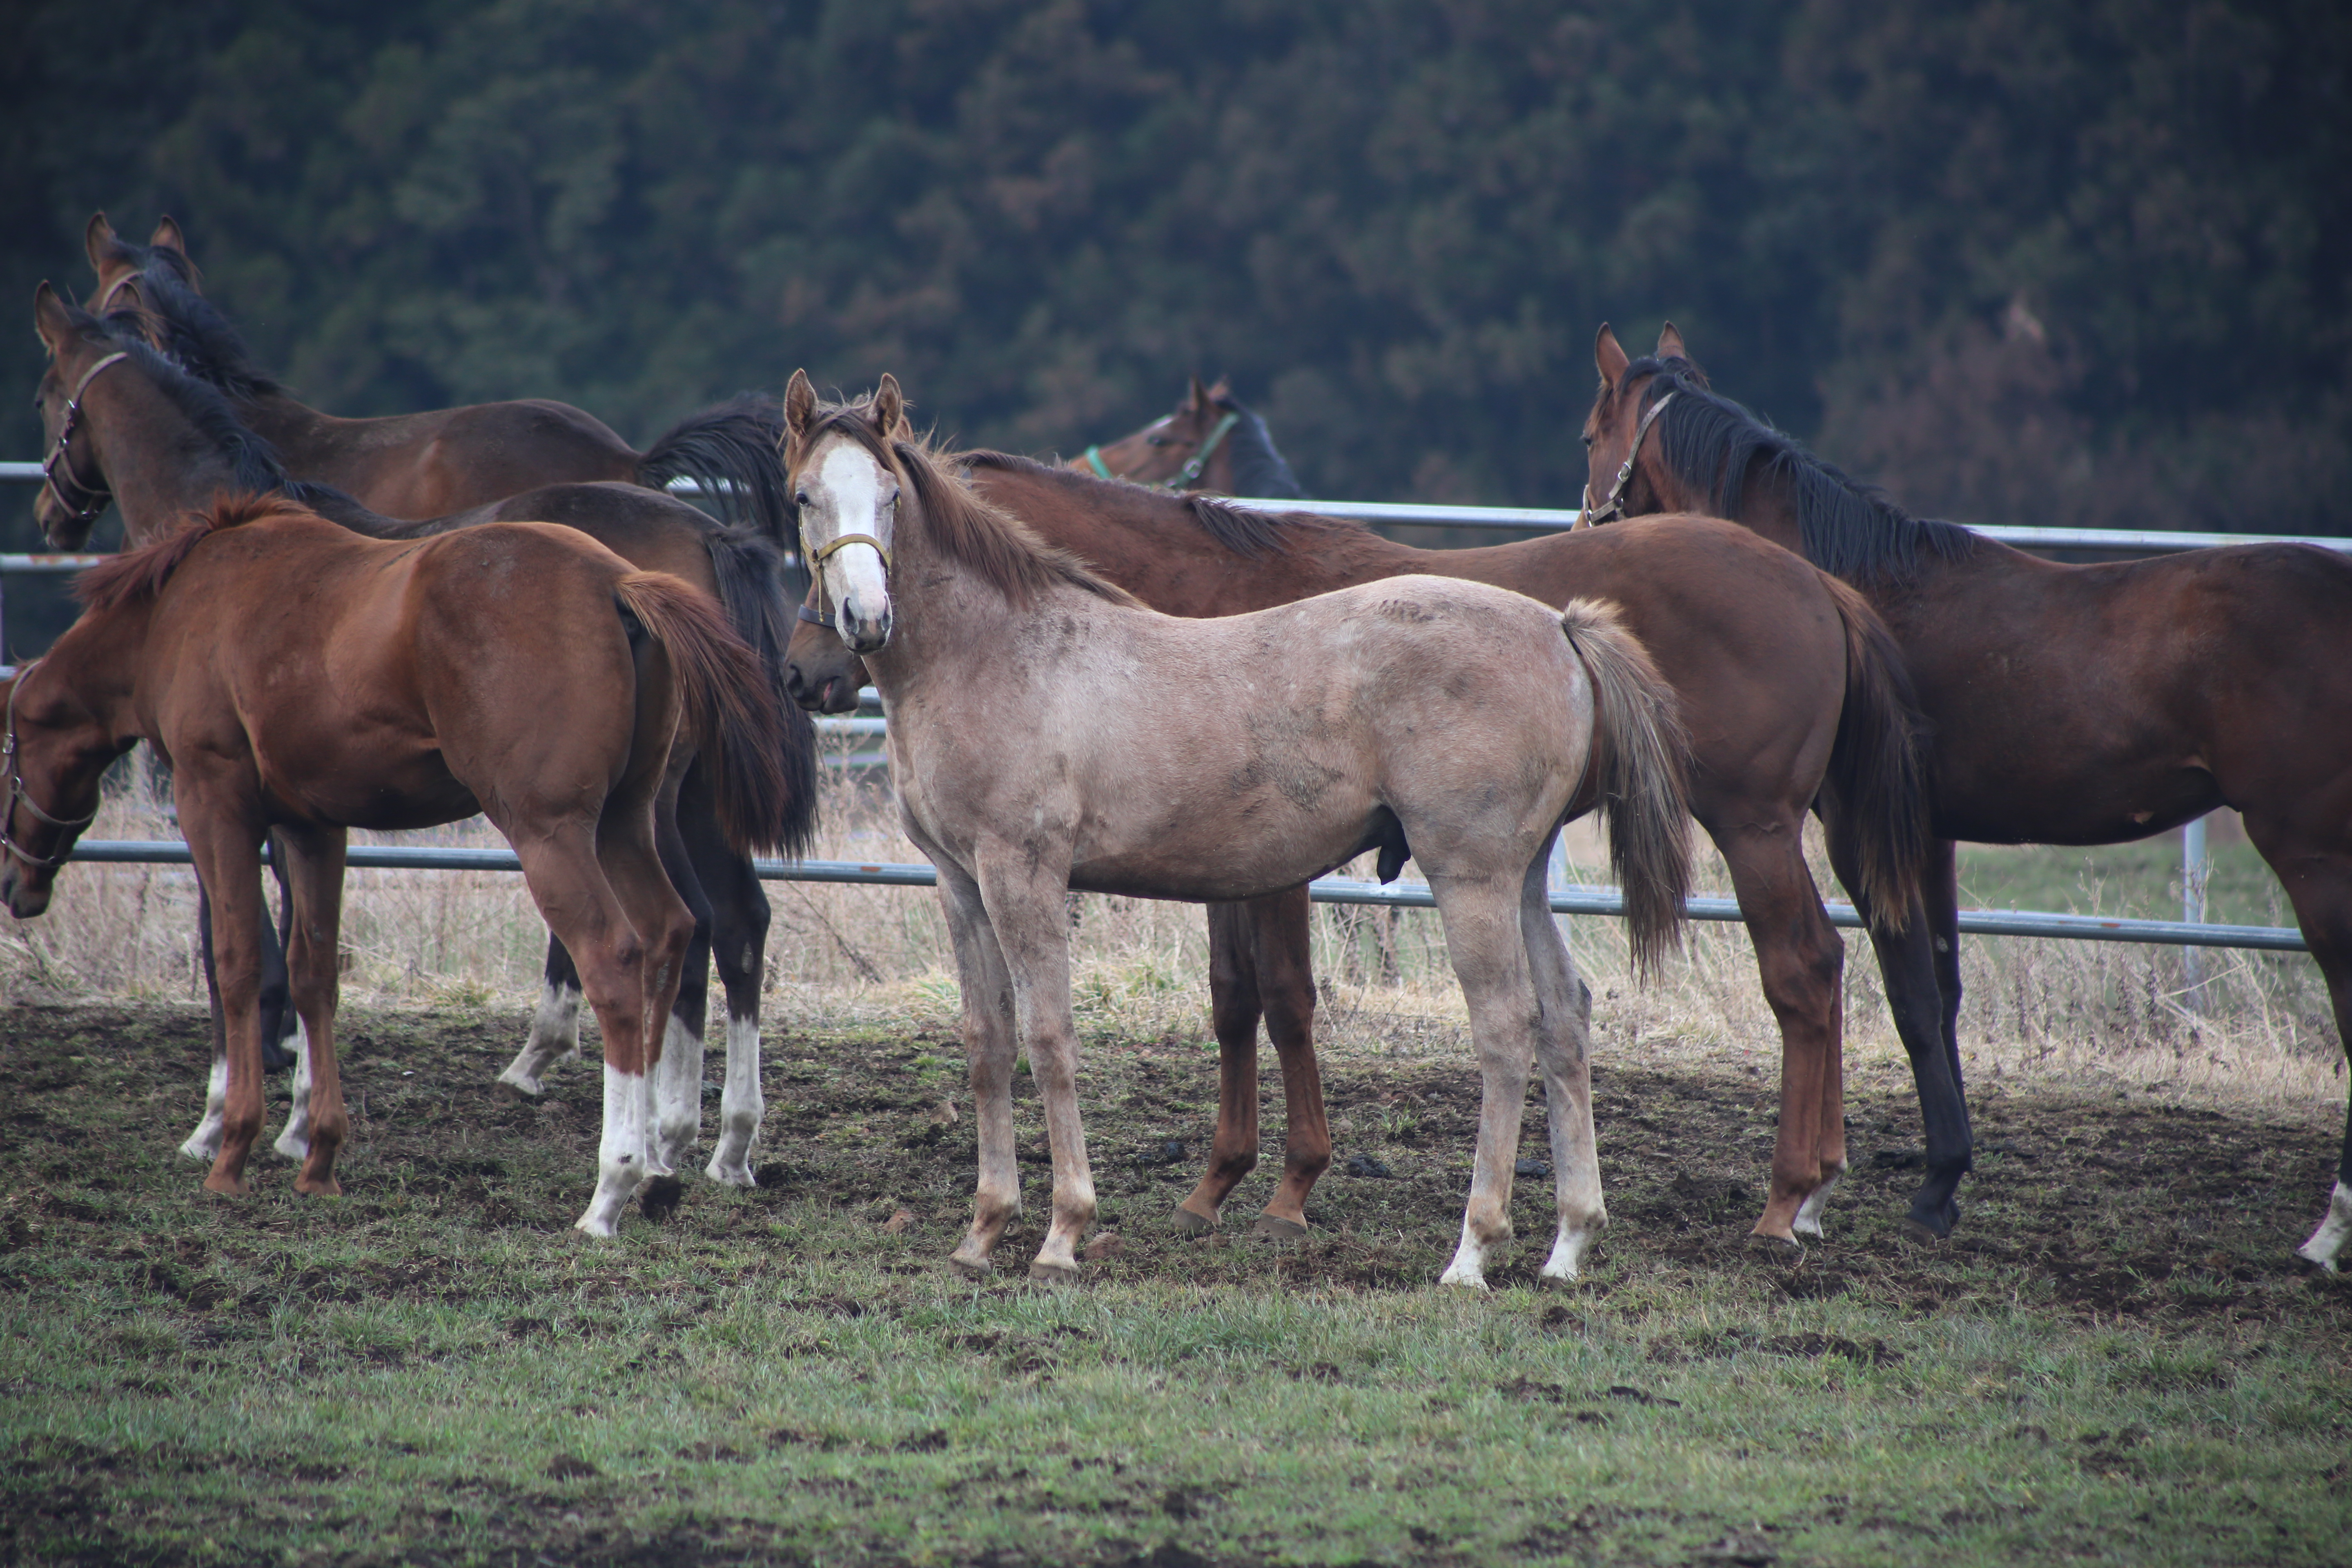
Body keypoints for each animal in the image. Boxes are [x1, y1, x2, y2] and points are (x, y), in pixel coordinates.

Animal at [25, 288, 818, 1203]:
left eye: (48, 391)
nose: (51, 515)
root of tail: (694, 543)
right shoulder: (300, 805)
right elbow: (307, 949)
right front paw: (297, 1121)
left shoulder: (225, 795)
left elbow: (244, 946)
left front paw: (233, 1121)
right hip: (686, 800)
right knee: (732, 923)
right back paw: (720, 1143)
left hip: (641, 807)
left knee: (676, 934)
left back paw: (651, 1136)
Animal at [790, 442, 1929, 1250]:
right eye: (797, 499)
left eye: (883, 502)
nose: (821, 655)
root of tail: (1562, 627)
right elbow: (1194, 1008)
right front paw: (1205, 1188)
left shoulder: (1101, 874)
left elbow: (1223, 1008)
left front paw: (1239, 1195)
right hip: (1537, 871)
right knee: (1583, 1012)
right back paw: (1600, 1233)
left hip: (1700, 838)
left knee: (1754, 983)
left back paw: (1734, 1211)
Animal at [1580, 322, 2352, 1278]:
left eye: (1589, 437)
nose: (1581, 526)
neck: (1855, 589)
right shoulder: (1931, 839)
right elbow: (1942, 991)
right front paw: (1945, 1179)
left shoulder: (1868, 837)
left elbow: (1910, 998)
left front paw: (1928, 1189)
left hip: (2308, 849)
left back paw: (2330, 1230)